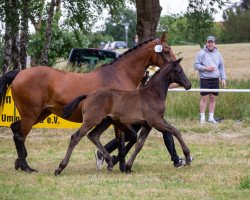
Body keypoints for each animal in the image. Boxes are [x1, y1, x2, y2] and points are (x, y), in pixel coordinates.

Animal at [0, 32, 176, 172]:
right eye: (166, 50)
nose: (176, 65)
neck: (120, 74)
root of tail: (19, 74)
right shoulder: (118, 119)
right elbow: (125, 140)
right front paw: (117, 163)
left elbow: (121, 140)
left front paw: (115, 163)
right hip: (31, 115)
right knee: (20, 136)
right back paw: (26, 167)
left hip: (40, 114)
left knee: (15, 128)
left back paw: (20, 162)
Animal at [54, 58, 191, 175]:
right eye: (179, 71)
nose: (188, 85)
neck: (152, 94)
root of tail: (88, 95)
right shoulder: (155, 121)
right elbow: (176, 131)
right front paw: (188, 157)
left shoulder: (148, 125)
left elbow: (139, 145)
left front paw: (129, 167)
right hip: (91, 120)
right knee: (76, 137)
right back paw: (60, 168)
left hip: (104, 121)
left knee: (93, 135)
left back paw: (109, 162)